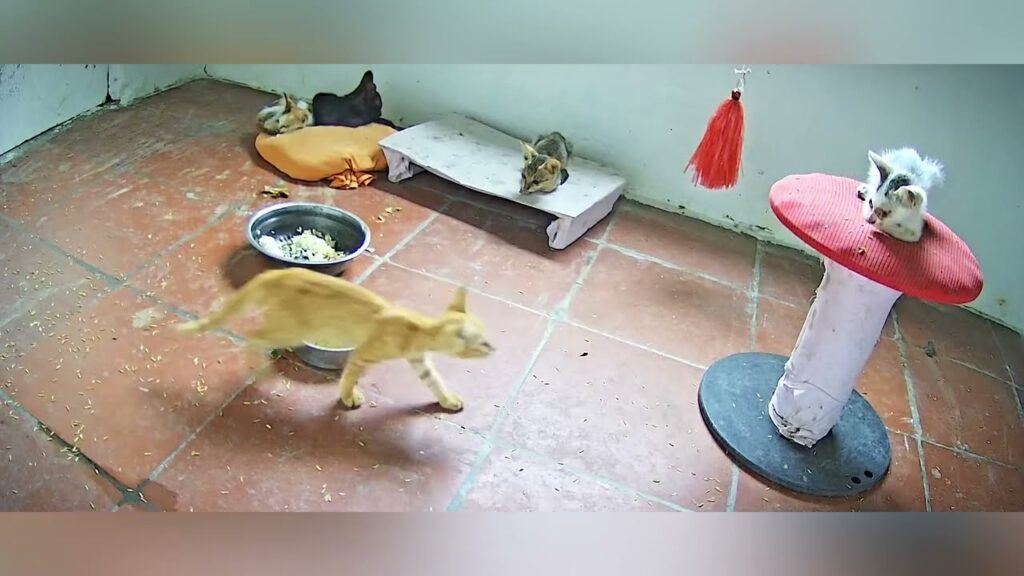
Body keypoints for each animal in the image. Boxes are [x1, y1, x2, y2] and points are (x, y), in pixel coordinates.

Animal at [176, 266, 495, 409]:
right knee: (251, 335)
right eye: (482, 342)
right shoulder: (363, 353)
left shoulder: (420, 361)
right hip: (291, 329)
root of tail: (278, 272)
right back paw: (255, 364)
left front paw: (447, 400)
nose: (494, 347)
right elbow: (350, 377)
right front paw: (348, 397)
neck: (418, 329)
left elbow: (434, 381)